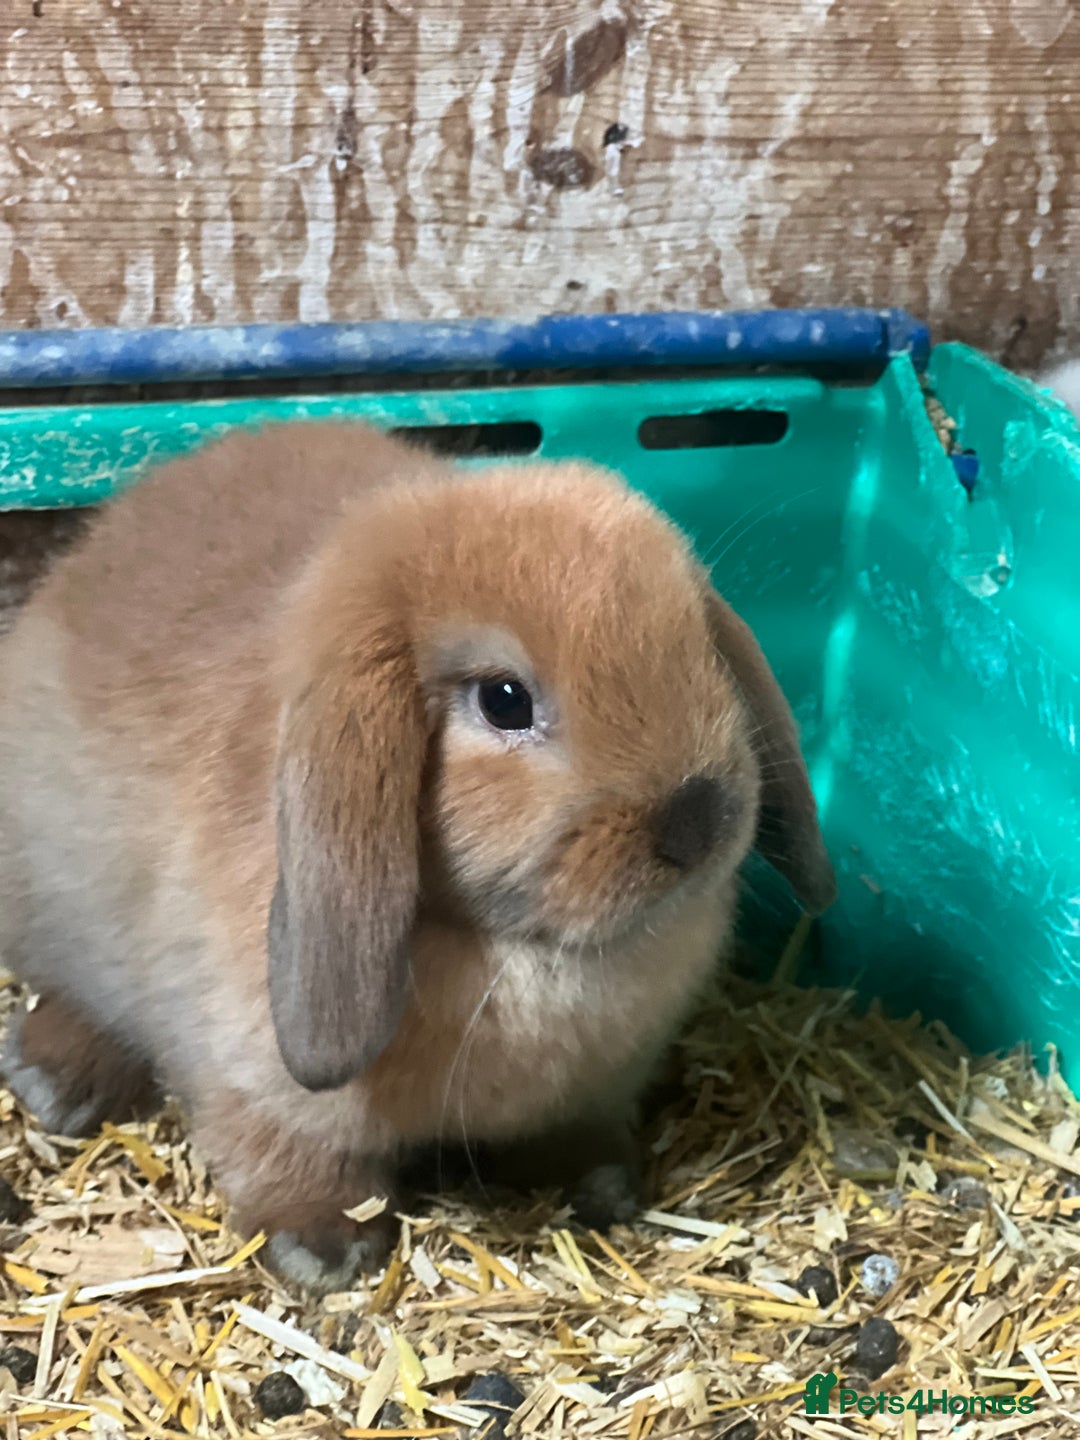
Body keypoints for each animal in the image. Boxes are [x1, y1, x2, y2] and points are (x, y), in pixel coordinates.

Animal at [0, 421, 835, 1293]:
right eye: (505, 701)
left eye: (696, 647)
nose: (699, 819)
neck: (516, 948)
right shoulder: (251, 1082)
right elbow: (285, 1156)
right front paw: (324, 1253)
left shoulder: (601, 1083)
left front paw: (601, 1184)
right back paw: (52, 1081)